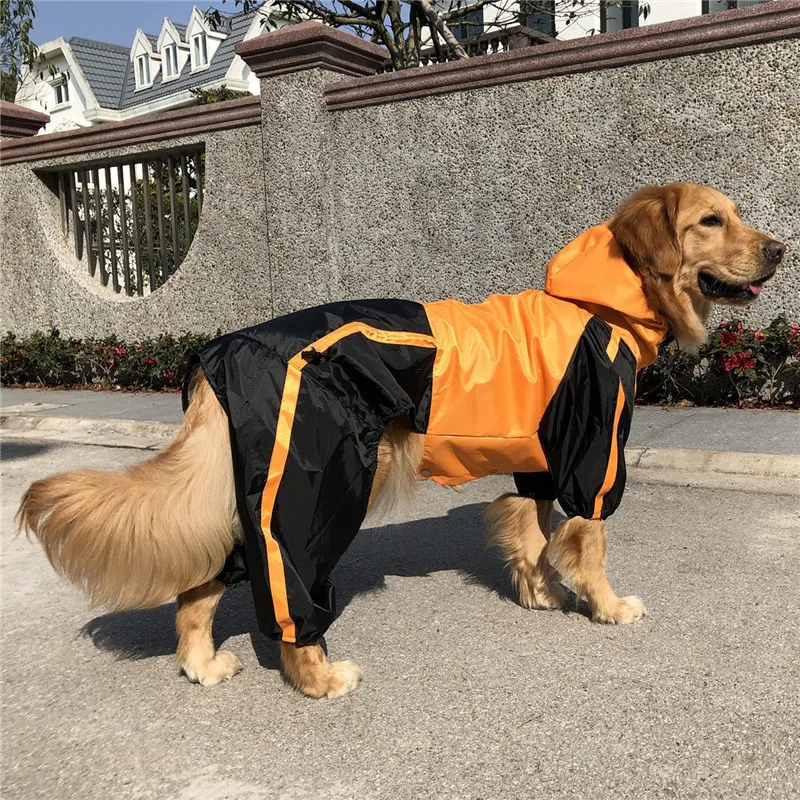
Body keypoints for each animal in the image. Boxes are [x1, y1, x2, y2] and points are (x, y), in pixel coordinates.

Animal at [15, 184, 784, 696]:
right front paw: (606, 605)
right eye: (712, 221)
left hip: (246, 489)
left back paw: (201, 663)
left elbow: (532, 535)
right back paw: (316, 676)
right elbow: (585, 542)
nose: (779, 248)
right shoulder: (589, 456)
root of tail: (221, 350)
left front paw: (540, 595)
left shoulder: (538, 464)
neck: (603, 306)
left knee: (198, 587)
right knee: (286, 592)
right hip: (315, 484)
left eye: (738, 215)